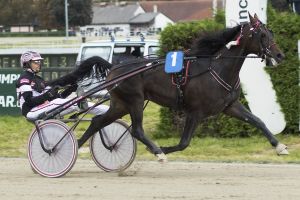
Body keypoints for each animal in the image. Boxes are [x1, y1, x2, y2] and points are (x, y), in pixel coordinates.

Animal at [74, 14, 286, 161]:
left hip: (120, 104)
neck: (218, 68)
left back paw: (73, 145)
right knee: (136, 130)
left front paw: (279, 146)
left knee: (97, 122)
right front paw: (162, 150)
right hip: (135, 100)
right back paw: (157, 151)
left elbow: (258, 121)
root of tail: (114, 66)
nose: (280, 55)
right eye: (262, 35)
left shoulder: (230, 106)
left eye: (271, 32)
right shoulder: (195, 112)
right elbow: (184, 143)